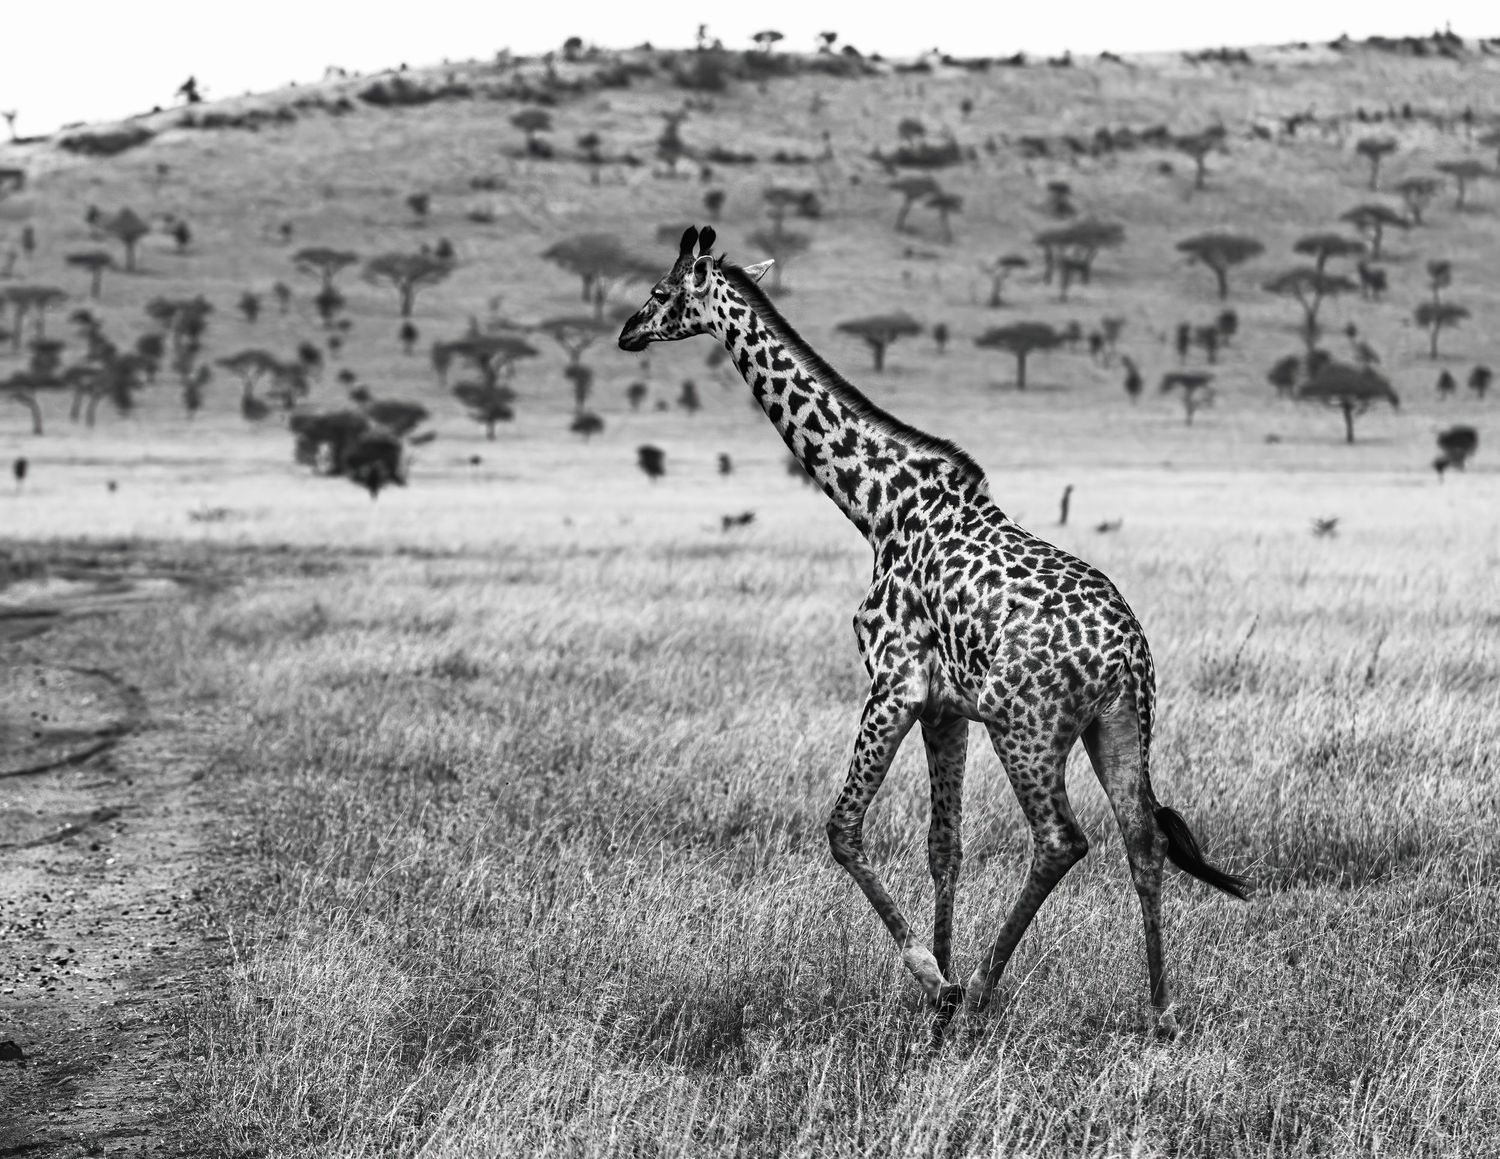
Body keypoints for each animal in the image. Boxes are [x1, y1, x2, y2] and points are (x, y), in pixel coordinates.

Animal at [618, 227, 1247, 1044]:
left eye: (661, 292)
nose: (626, 332)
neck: (879, 507)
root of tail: (1124, 655)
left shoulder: (895, 682)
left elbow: (843, 828)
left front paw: (935, 979)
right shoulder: (947, 706)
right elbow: (944, 846)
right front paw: (937, 1008)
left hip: (1026, 726)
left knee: (1063, 839)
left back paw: (982, 986)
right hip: (1117, 725)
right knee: (1143, 840)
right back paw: (1159, 1010)